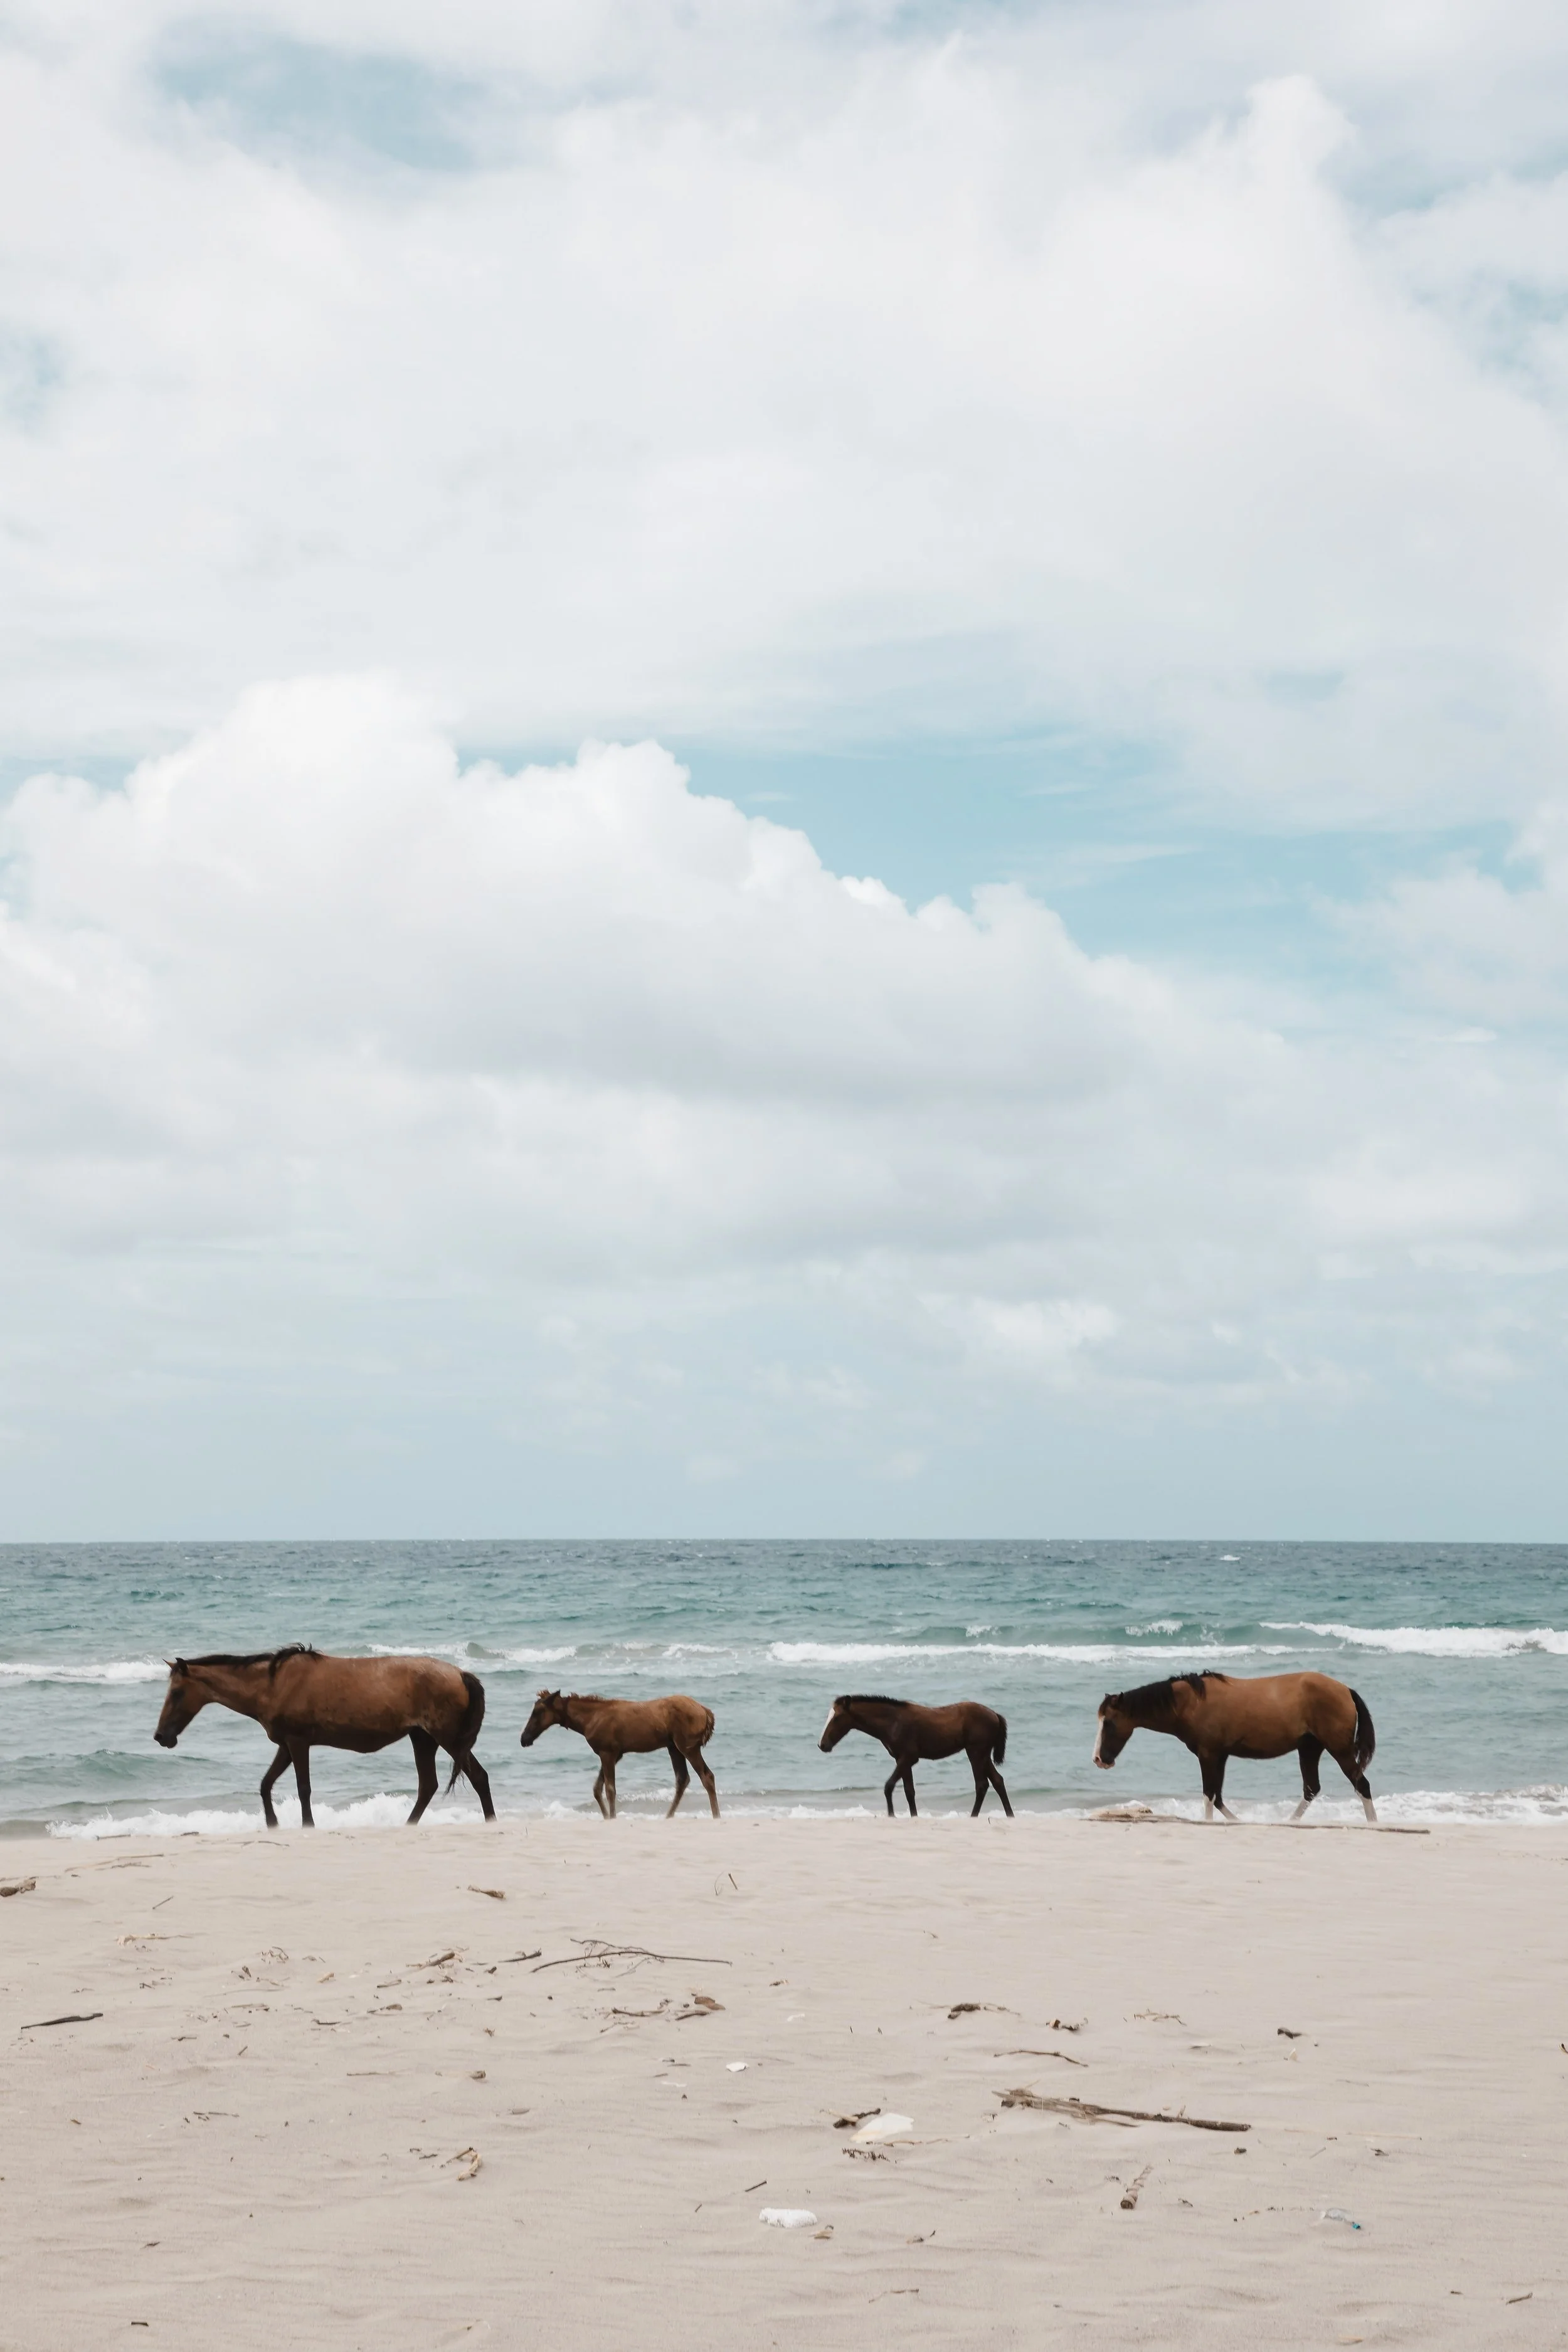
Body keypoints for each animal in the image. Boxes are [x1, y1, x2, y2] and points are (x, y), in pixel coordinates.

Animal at [153, 1645, 495, 1828]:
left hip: (447, 1737)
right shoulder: (286, 1745)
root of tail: (461, 1674)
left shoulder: (297, 1742)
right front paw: (273, 1824)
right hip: (422, 1737)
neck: (272, 1686)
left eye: (178, 1692)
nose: (161, 1736)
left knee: (477, 1776)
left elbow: (303, 1788)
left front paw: (307, 1825)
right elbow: (265, 1785)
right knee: (429, 1786)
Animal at [519, 1690, 719, 1819]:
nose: (524, 1739)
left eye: (538, 1711)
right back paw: (668, 1816)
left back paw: (716, 1815)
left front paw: (612, 1817)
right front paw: (607, 1817)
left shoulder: (607, 1752)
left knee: (707, 1776)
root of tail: (707, 1712)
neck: (587, 1722)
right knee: (682, 1779)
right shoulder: (615, 1754)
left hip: (688, 1747)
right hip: (674, 1747)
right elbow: (597, 1788)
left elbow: (610, 1789)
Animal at [818, 1694, 1013, 1817]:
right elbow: (909, 1790)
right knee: (998, 1781)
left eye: (837, 1718)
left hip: (975, 1752)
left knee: (982, 1785)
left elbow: (889, 1786)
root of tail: (995, 1715)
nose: (823, 1745)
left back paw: (974, 1816)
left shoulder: (908, 1758)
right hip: (983, 1755)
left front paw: (892, 1815)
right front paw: (914, 1816)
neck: (893, 1721)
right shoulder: (902, 1760)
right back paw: (1010, 1815)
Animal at [1093, 1670, 1377, 1823]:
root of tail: (1345, 1690)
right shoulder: (1220, 1756)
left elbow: (1209, 1796)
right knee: (1311, 1789)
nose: (1099, 1759)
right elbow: (1217, 1798)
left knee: (1361, 1785)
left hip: (1339, 1749)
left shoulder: (1208, 1755)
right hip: (1309, 1748)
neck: (1192, 1703)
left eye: (1109, 1722)